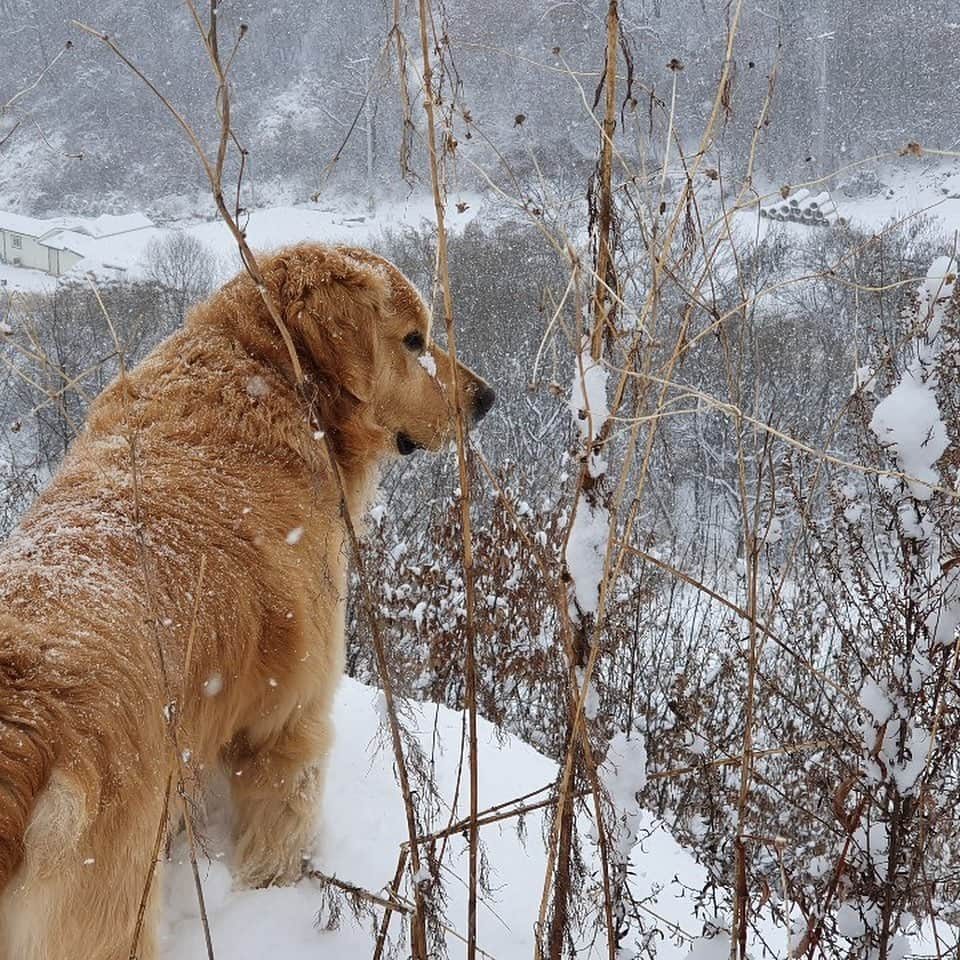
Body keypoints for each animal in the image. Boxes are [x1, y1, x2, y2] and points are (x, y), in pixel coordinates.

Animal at [0, 244, 496, 956]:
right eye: (414, 340)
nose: (487, 398)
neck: (267, 375)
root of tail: (22, 725)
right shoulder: (291, 717)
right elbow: (281, 825)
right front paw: (278, 888)